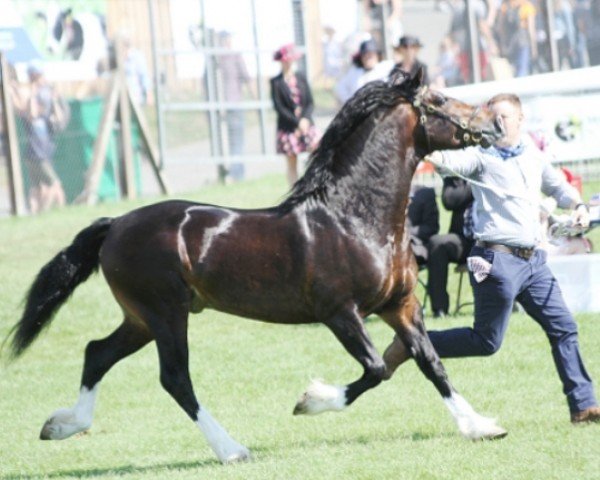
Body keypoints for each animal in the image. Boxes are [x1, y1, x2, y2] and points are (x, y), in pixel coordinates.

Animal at [8, 69, 506, 464]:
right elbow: (376, 369)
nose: (496, 123)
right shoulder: (340, 314)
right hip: (164, 314)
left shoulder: (400, 305)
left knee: (97, 353)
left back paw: (62, 425)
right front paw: (309, 401)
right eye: (438, 100)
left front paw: (480, 426)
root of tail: (114, 225)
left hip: (141, 319)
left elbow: (430, 361)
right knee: (174, 379)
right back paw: (231, 450)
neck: (354, 217)